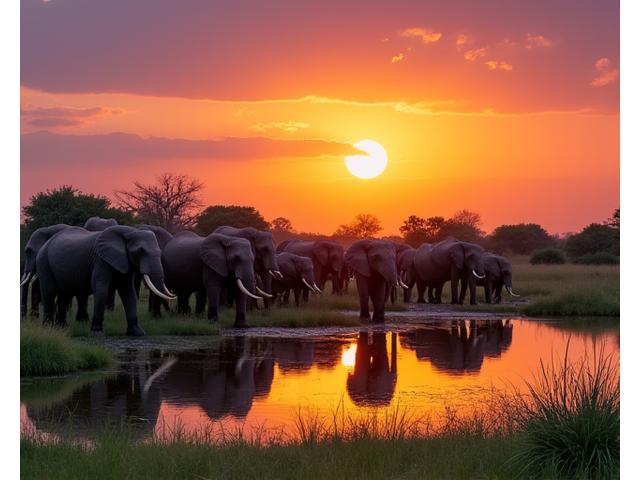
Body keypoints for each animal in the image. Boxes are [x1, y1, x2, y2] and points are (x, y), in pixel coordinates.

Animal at [36, 225, 174, 335]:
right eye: (140, 251)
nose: (173, 296)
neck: (129, 231)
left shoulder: (124, 262)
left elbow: (128, 292)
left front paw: (138, 333)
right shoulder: (100, 260)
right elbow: (101, 290)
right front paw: (96, 333)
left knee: (64, 295)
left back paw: (63, 327)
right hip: (43, 262)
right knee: (49, 293)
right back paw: (48, 328)